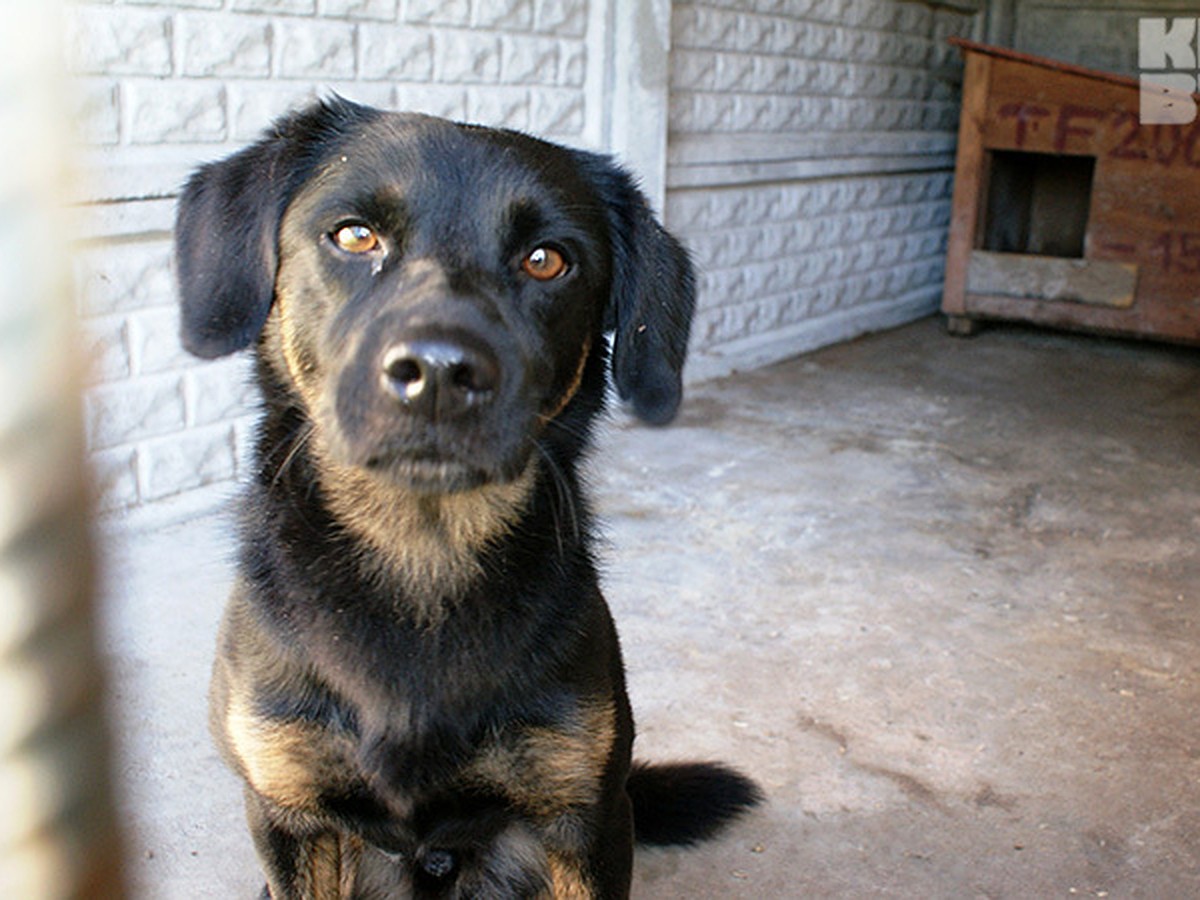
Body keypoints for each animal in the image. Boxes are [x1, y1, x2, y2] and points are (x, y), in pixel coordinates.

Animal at [175, 95, 758, 897]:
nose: (440, 374)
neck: (422, 559)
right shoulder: (287, 814)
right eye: (354, 236)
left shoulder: (588, 816)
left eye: (547, 259)